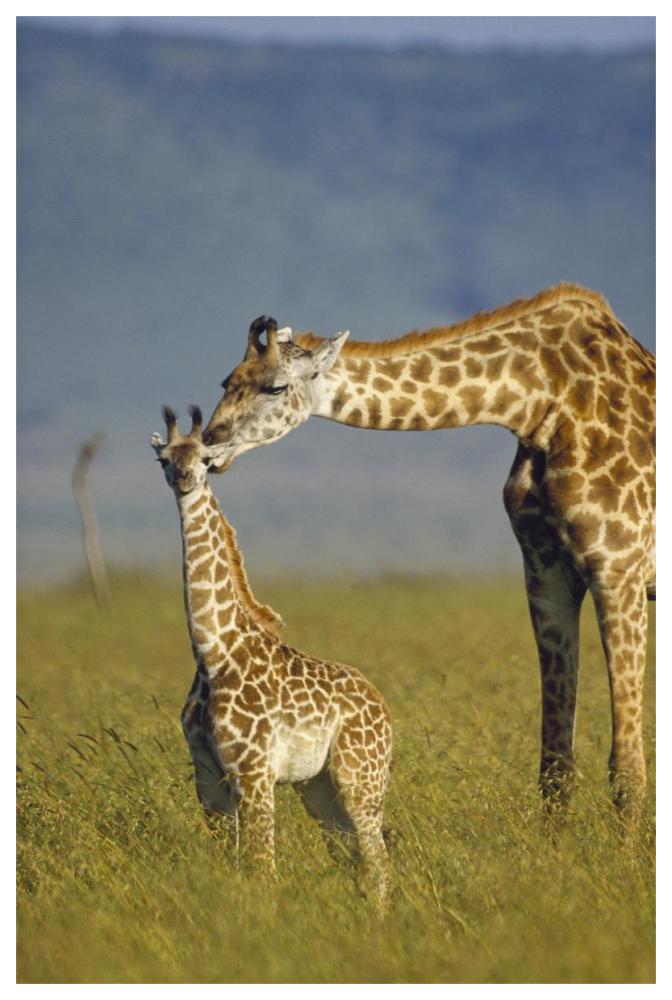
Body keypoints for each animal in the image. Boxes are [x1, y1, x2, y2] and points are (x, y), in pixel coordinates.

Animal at [151, 405, 393, 903]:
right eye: (164, 459)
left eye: (205, 459)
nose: (184, 478)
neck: (213, 652)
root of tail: (382, 706)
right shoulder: (209, 777)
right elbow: (233, 865)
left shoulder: (253, 771)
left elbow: (263, 869)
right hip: (317, 787)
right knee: (354, 858)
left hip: (361, 777)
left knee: (378, 863)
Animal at [201, 285, 656, 819]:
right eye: (226, 381)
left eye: (273, 388)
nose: (208, 444)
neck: (538, 405)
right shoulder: (545, 573)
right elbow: (555, 766)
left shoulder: (618, 567)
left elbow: (627, 769)